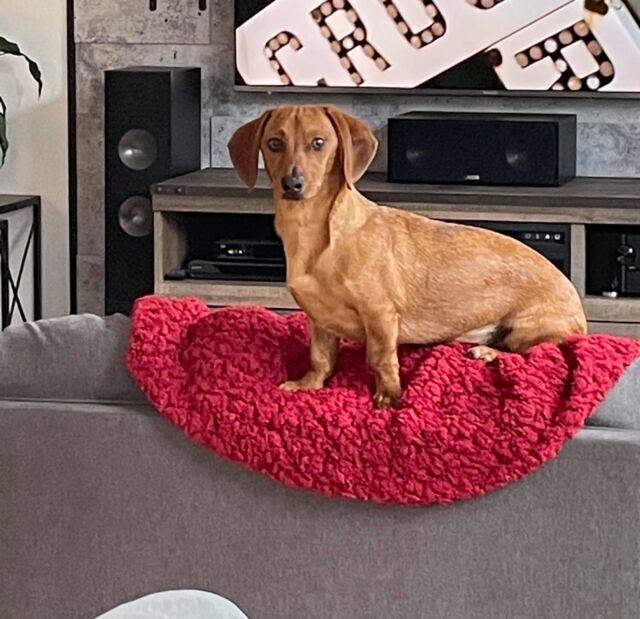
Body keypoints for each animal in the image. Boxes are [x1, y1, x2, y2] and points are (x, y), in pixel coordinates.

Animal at [227, 105, 587, 408]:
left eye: (319, 142)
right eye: (275, 143)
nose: (293, 183)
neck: (316, 235)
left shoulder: (381, 314)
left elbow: (380, 359)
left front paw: (389, 397)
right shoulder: (319, 319)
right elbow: (320, 358)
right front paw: (308, 385)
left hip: (529, 328)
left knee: (530, 352)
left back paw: (486, 352)